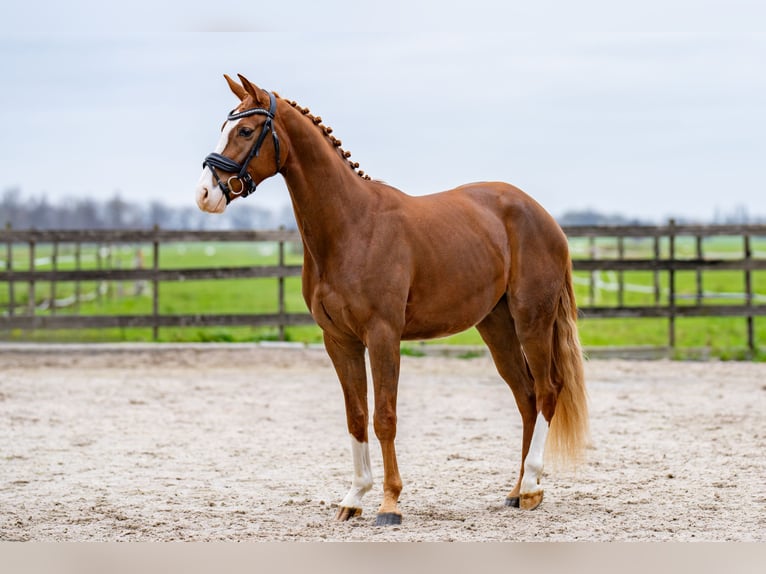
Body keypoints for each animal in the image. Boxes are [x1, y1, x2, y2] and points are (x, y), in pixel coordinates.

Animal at [196, 74, 588, 528]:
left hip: (531, 320)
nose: (205, 194)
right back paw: (516, 489)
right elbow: (356, 416)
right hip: (496, 325)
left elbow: (384, 416)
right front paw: (354, 497)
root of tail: (542, 216)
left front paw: (389, 503)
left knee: (546, 390)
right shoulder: (340, 341)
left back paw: (531, 487)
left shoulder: (382, 335)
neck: (351, 226)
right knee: (525, 397)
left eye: (245, 130)